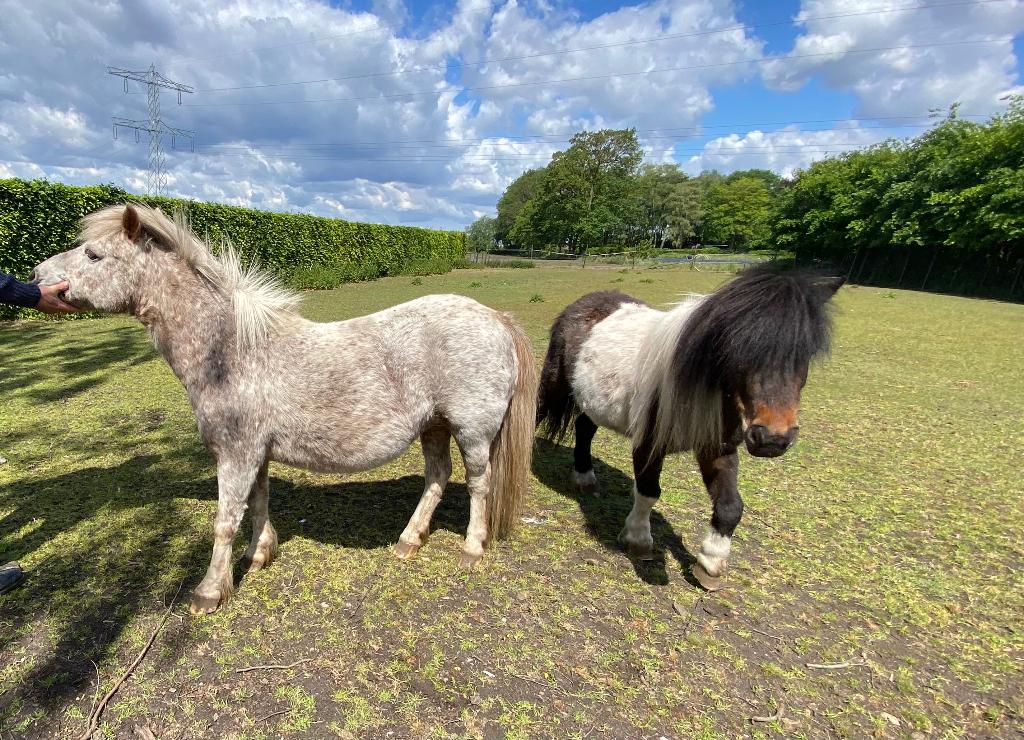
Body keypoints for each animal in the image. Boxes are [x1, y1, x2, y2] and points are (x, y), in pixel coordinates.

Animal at [31, 203, 537, 614]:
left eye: (94, 255)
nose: (36, 276)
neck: (230, 352)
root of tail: (496, 318)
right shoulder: (254, 454)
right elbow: (258, 502)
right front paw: (259, 555)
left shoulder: (236, 455)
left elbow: (224, 522)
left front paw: (209, 592)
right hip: (433, 425)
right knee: (437, 476)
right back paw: (408, 541)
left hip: (472, 431)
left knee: (478, 483)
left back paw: (471, 548)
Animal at [536, 265, 842, 590]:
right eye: (738, 349)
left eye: (806, 352)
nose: (772, 438)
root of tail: (584, 303)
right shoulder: (648, 444)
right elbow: (649, 491)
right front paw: (638, 540)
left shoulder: (717, 448)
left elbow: (731, 506)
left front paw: (711, 563)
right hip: (554, 384)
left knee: (584, 428)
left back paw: (584, 477)